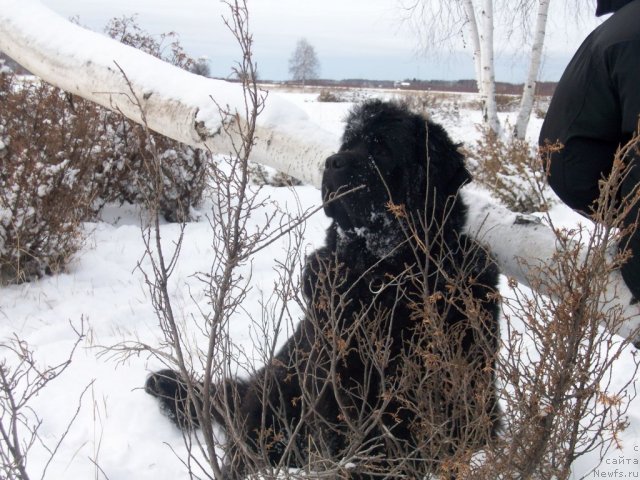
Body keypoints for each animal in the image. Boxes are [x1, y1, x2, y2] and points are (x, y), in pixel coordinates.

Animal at [145, 99, 500, 478]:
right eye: (347, 144)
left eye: (381, 147)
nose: (332, 162)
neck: (385, 274)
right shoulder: (337, 382)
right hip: (276, 390)